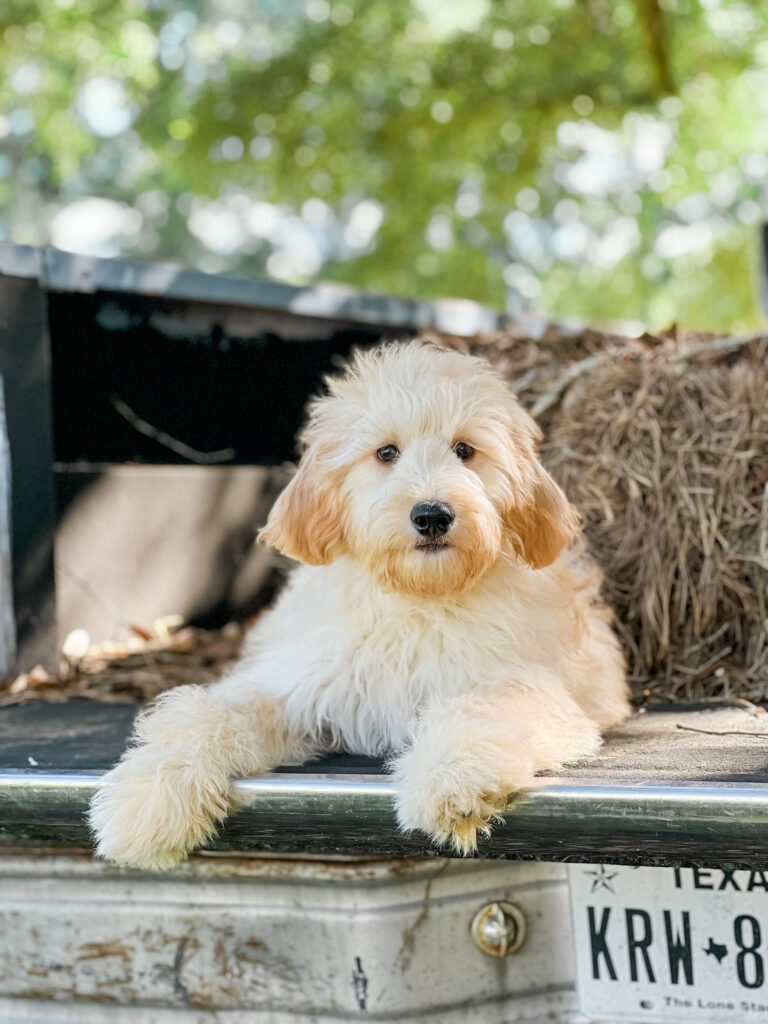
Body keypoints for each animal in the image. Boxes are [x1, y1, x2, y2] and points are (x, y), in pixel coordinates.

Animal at [90, 342, 630, 864]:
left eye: (465, 450)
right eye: (386, 452)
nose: (432, 515)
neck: (414, 600)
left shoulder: (522, 684)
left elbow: (479, 711)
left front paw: (452, 779)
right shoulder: (297, 683)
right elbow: (206, 717)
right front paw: (146, 799)